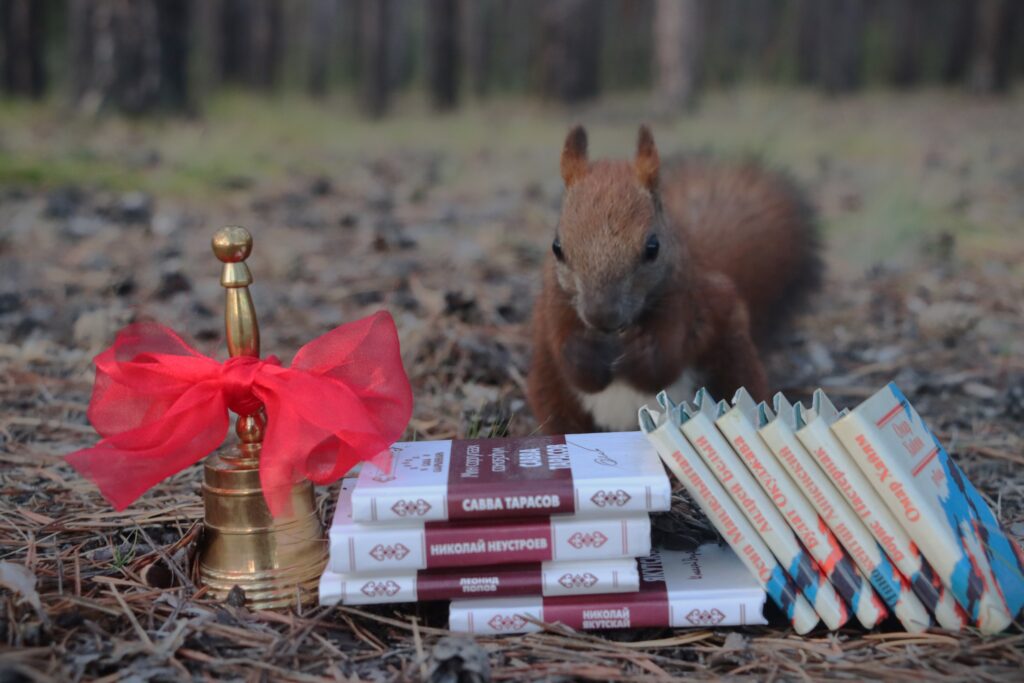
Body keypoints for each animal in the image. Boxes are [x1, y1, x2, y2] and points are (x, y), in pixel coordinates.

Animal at [527, 125, 822, 434]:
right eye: (556, 247)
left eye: (652, 247)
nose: (602, 316)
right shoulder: (552, 306)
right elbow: (569, 360)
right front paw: (582, 353)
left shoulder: (686, 300)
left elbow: (664, 362)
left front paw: (640, 352)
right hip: (548, 388)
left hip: (734, 358)